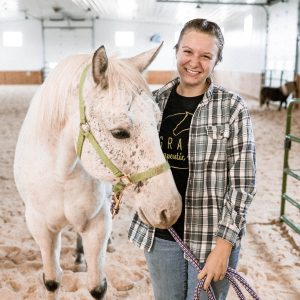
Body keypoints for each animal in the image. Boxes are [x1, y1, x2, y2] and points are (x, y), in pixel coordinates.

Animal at [14, 44, 182, 300]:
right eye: (119, 132)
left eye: (157, 122)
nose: (170, 209)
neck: (60, 174)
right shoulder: (41, 227)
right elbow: (52, 281)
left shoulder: (97, 223)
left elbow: (97, 286)